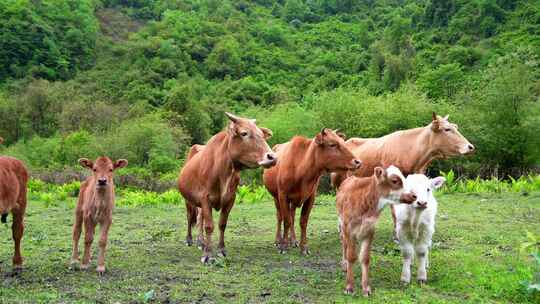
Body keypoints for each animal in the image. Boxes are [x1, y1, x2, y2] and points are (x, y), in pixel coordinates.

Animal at [178, 113, 276, 262]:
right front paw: (207, 255)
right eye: (244, 133)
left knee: (200, 218)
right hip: (188, 200)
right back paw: (189, 240)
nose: (272, 157)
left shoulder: (230, 199)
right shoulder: (205, 198)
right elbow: (209, 226)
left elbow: (222, 224)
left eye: (261, 134)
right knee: (190, 217)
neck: (223, 170)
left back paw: (201, 241)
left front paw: (221, 250)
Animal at [338, 165, 418, 296]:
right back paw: (344, 264)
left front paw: (366, 288)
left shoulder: (370, 230)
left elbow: (365, 258)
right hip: (341, 224)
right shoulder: (349, 229)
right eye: (395, 180)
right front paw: (349, 286)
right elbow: (351, 256)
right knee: (344, 243)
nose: (414, 196)